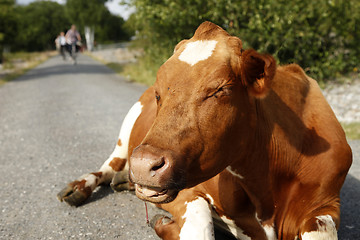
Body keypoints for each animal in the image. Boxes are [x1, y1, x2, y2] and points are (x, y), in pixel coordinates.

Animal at [57, 21, 352, 239]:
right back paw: (80, 187)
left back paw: (123, 181)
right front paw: (162, 224)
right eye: (158, 94)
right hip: (126, 130)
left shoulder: (326, 203)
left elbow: (320, 231)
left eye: (220, 89)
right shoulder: (187, 192)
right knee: (108, 165)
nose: (142, 165)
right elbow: (200, 225)